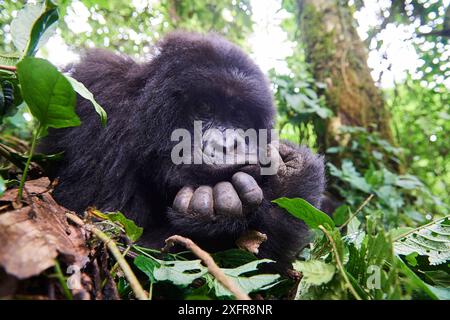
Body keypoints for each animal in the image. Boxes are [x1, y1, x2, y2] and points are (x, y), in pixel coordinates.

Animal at [38, 31, 326, 268]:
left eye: (240, 117)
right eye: (205, 107)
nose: (228, 144)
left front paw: (291, 175)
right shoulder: (99, 94)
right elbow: (109, 239)